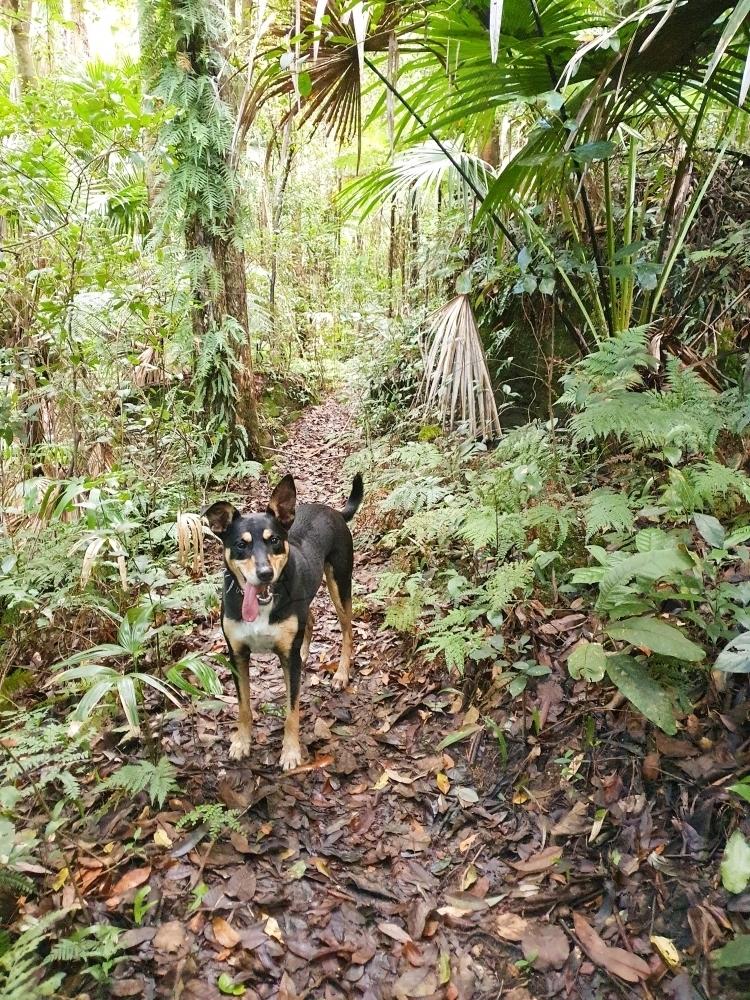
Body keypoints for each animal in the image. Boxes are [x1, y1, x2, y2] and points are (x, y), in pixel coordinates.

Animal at [203, 472, 362, 768]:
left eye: (274, 540)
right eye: (241, 545)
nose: (265, 574)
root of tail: (333, 510)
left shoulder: (288, 660)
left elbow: (292, 711)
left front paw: (290, 752)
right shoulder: (237, 654)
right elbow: (243, 706)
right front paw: (241, 742)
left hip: (340, 583)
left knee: (347, 630)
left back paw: (341, 674)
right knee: (310, 618)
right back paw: (306, 651)